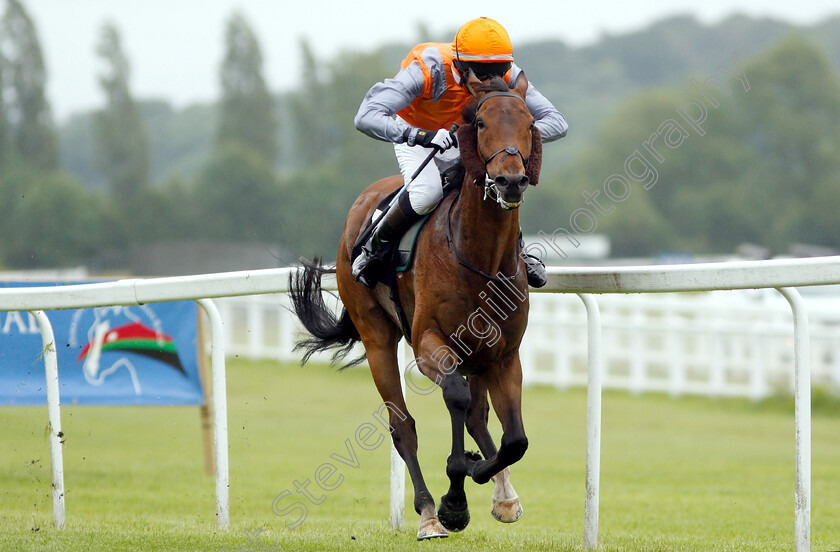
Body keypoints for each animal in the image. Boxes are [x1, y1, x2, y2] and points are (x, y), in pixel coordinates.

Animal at [286, 70, 540, 540]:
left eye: (530, 122)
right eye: (480, 123)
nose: (510, 180)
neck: (479, 258)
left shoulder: (503, 354)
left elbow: (514, 438)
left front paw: (484, 480)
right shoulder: (428, 344)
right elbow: (454, 398)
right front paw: (454, 500)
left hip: (476, 353)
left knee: (478, 417)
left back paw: (502, 494)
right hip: (377, 338)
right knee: (403, 426)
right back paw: (428, 514)